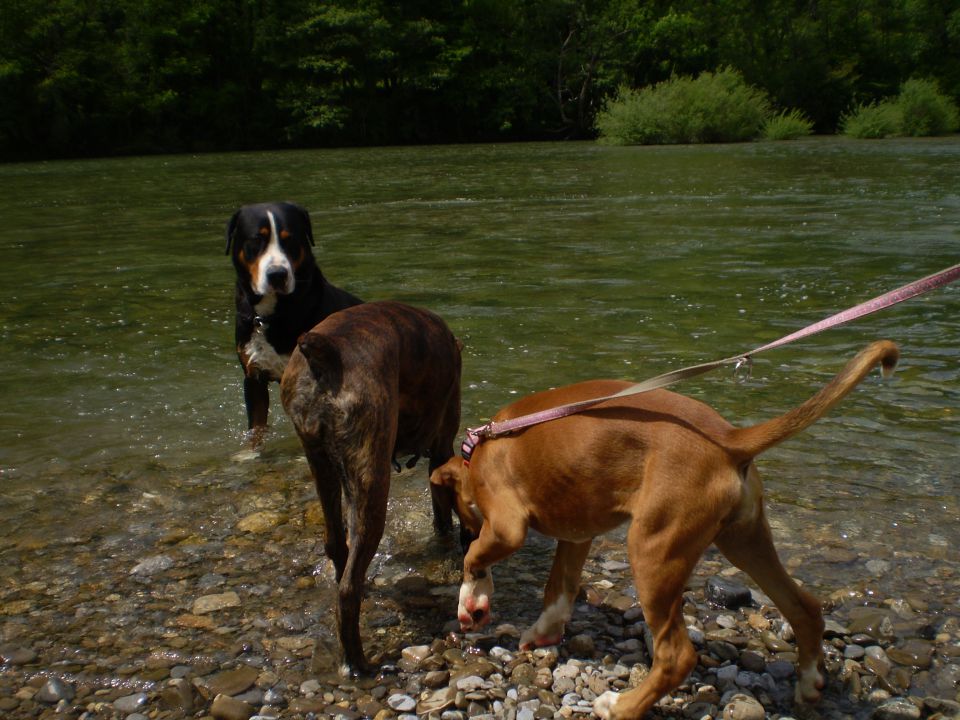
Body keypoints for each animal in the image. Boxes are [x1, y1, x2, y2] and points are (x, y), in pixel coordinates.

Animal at [227, 200, 362, 442]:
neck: (273, 314)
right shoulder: (253, 379)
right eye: (256, 240)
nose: (277, 274)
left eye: (289, 239)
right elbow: (256, 429)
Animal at [282, 300, 464, 676]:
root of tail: (328, 350)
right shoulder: (441, 450)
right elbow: (442, 514)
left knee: (337, 546)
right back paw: (359, 664)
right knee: (348, 590)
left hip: (322, 465)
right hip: (371, 480)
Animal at [434, 340, 900, 716]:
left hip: (653, 551)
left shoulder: (508, 526)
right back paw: (808, 683)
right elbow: (558, 589)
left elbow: (476, 558)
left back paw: (620, 707)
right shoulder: (577, 535)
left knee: (676, 656)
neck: (481, 449)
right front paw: (542, 633)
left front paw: (471, 604)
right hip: (745, 541)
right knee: (804, 607)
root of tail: (729, 437)